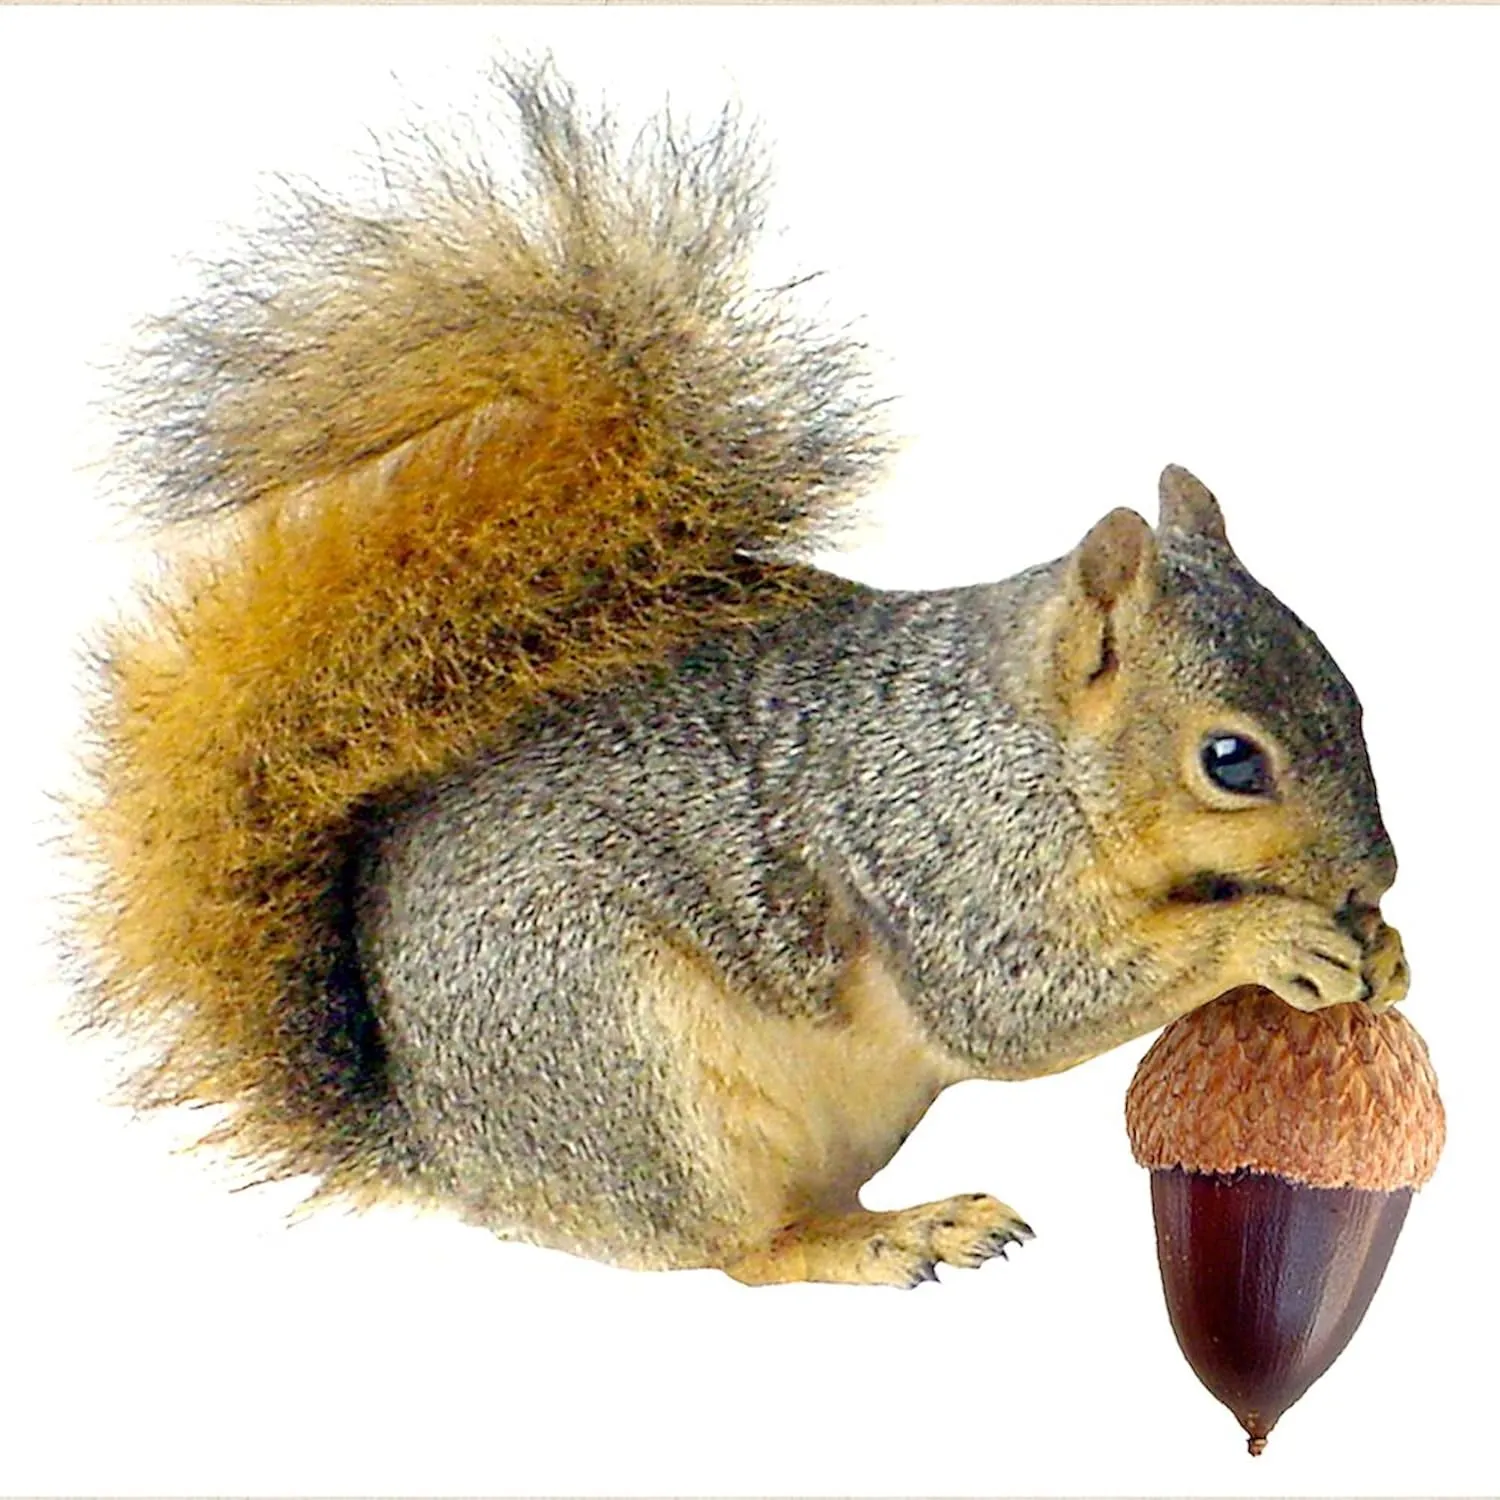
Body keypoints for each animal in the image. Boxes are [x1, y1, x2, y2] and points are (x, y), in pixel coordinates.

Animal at [73, 63, 1409, 1288]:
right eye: (1229, 760)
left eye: (1350, 693)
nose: (1375, 876)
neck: (1024, 747)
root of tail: (449, 1147)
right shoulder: (939, 855)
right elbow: (1019, 1002)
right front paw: (1273, 939)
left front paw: (1384, 949)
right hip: (627, 1059)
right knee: (743, 1252)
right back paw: (884, 1237)